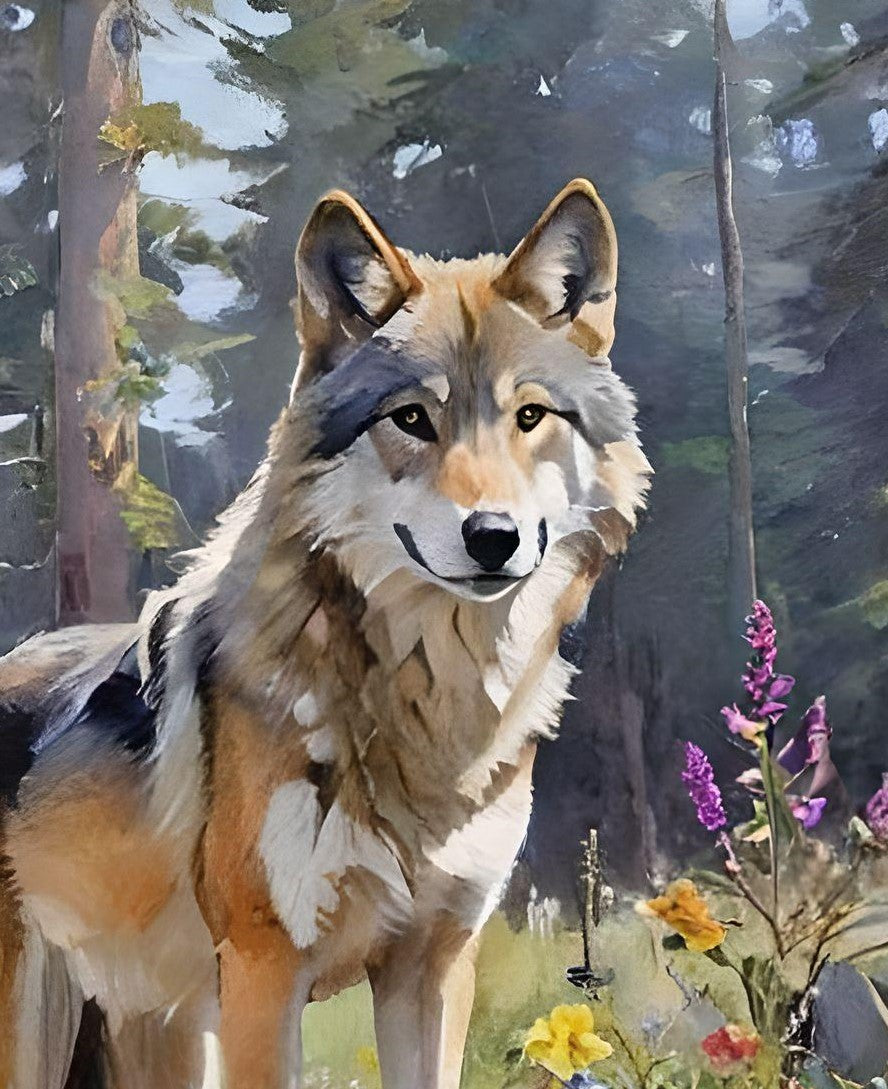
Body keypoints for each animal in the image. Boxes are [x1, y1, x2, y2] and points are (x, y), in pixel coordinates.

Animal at [0, 179, 650, 1089]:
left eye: (530, 416)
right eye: (411, 418)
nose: (494, 536)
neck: (422, 708)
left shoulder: (434, 966)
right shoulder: (266, 971)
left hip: (163, 1026)